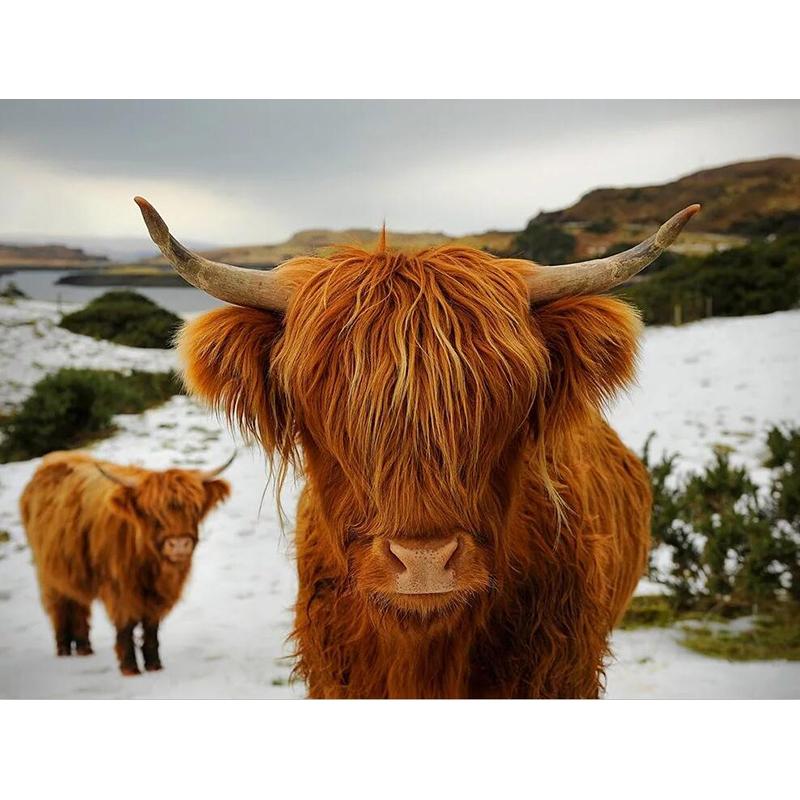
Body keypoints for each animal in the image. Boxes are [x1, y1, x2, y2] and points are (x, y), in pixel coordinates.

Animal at [20, 451, 232, 675]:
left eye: (195, 508)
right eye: (151, 513)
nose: (179, 544)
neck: (149, 565)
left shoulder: (158, 596)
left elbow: (151, 628)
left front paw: (154, 665)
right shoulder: (119, 589)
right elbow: (126, 626)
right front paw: (130, 668)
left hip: (73, 571)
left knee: (79, 605)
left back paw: (84, 648)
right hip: (49, 573)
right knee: (59, 606)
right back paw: (63, 649)